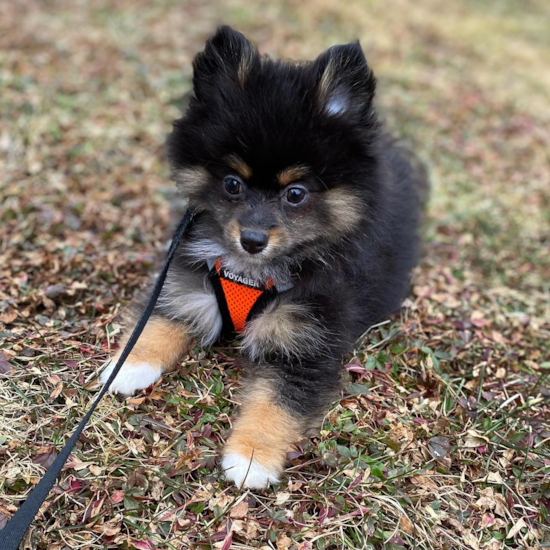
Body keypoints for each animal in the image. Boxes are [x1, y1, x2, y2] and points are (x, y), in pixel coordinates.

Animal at [102, 27, 426, 492]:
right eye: (232, 184)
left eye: (296, 193)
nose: (252, 239)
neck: (252, 274)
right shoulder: (189, 281)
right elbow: (161, 320)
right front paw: (129, 364)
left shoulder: (307, 340)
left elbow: (276, 401)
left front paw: (251, 457)